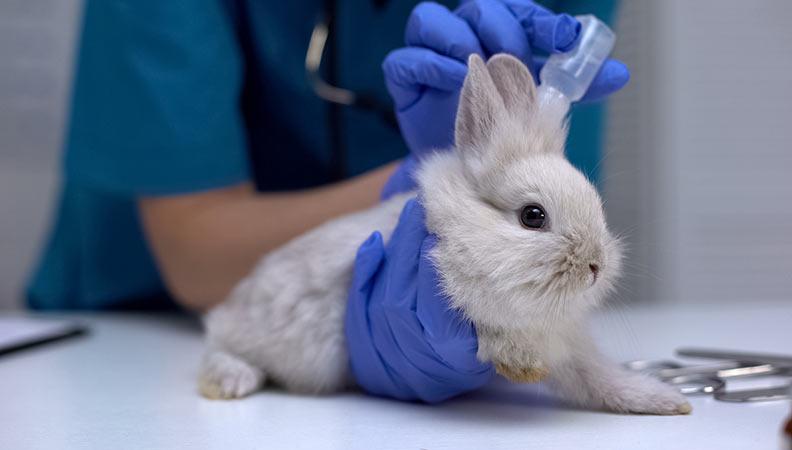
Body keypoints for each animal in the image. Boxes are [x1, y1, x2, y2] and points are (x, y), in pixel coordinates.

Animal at [198, 53, 691, 415]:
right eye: (533, 216)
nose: (595, 266)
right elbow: (497, 332)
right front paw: (520, 364)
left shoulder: (569, 345)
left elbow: (597, 378)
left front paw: (665, 401)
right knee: (217, 346)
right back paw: (232, 381)